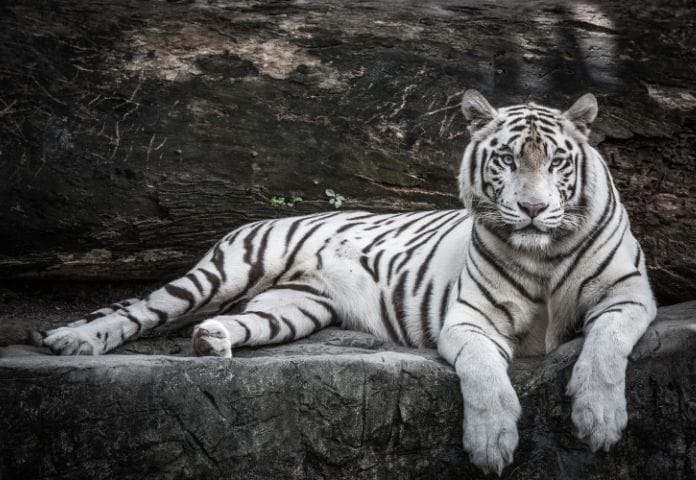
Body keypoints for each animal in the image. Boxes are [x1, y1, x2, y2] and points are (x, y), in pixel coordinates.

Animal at [40, 90, 656, 475]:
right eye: (506, 159)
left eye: (556, 163)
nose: (531, 209)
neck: (543, 254)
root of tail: (260, 219)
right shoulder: (469, 319)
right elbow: (483, 375)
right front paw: (491, 444)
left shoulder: (628, 294)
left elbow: (604, 350)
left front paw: (600, 422)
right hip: (226, 270)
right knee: (137, 308)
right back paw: (72, 340)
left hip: (291, 308)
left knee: (235, 322)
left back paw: (211, 342)